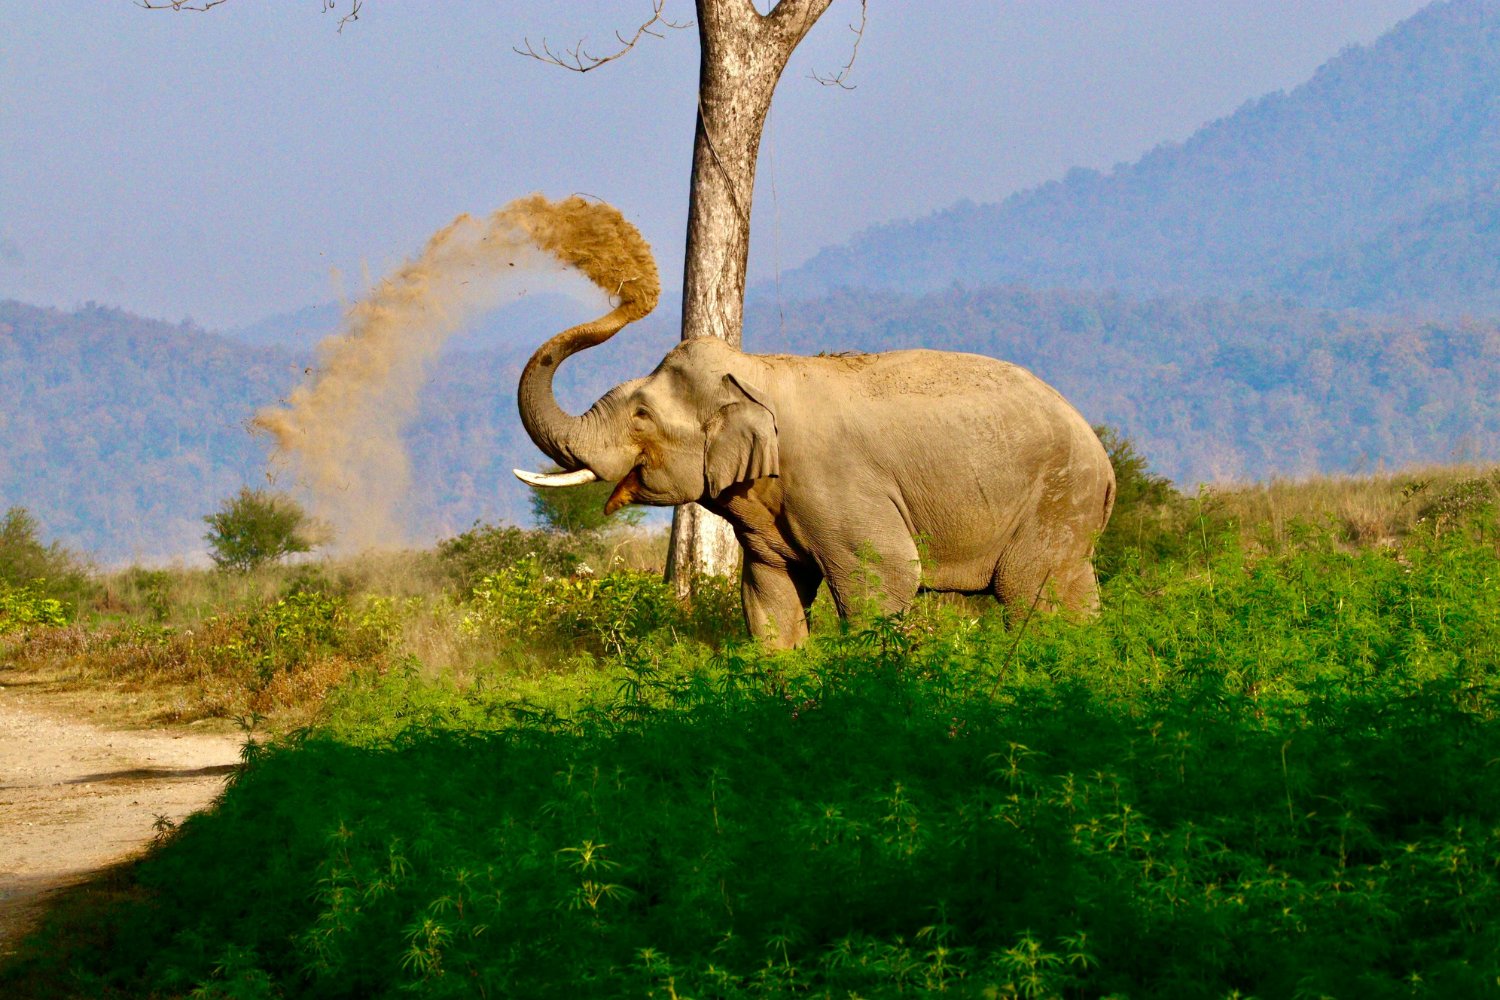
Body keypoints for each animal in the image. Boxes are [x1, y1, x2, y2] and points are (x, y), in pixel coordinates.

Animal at [515, 305, 1115, 649]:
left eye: (641, 415)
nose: (625, 301)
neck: (755, 369)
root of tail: (1104, 460)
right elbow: (769, 594)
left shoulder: (840, 486)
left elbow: (886, 579)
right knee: (1075, 597)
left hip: (1057, 499)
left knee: (1031, 595)